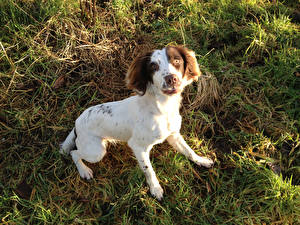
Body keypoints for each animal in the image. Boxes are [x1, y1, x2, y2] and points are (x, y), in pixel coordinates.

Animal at [60, 44, 213, 200]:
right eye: (153, 66)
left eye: (177, 61)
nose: (172, 79)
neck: (162, 108)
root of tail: (77, 122)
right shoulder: (138, 146)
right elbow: (148, 170)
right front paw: (155, 189)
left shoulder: (174, 135)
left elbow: (189, 151)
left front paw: (201, 160)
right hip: (96, 151)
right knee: (74, 152)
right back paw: (84, 170)